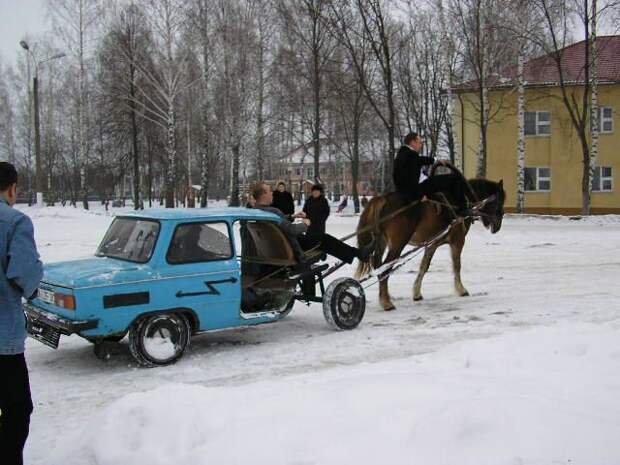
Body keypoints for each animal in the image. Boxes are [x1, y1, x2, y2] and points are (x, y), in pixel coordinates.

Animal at [356, 169, 506, 310]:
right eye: (500, 201)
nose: (498, 225)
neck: (461, 201)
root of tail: (383, 198)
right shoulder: (458, 241)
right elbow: (457, 265)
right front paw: (461, 289)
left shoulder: (432, 244)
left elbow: (424, 266)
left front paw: (416, 293)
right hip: (398, 244)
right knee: (385, 268)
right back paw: (386, 302)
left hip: (381, 242)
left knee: (378, 266)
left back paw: (385, 296)